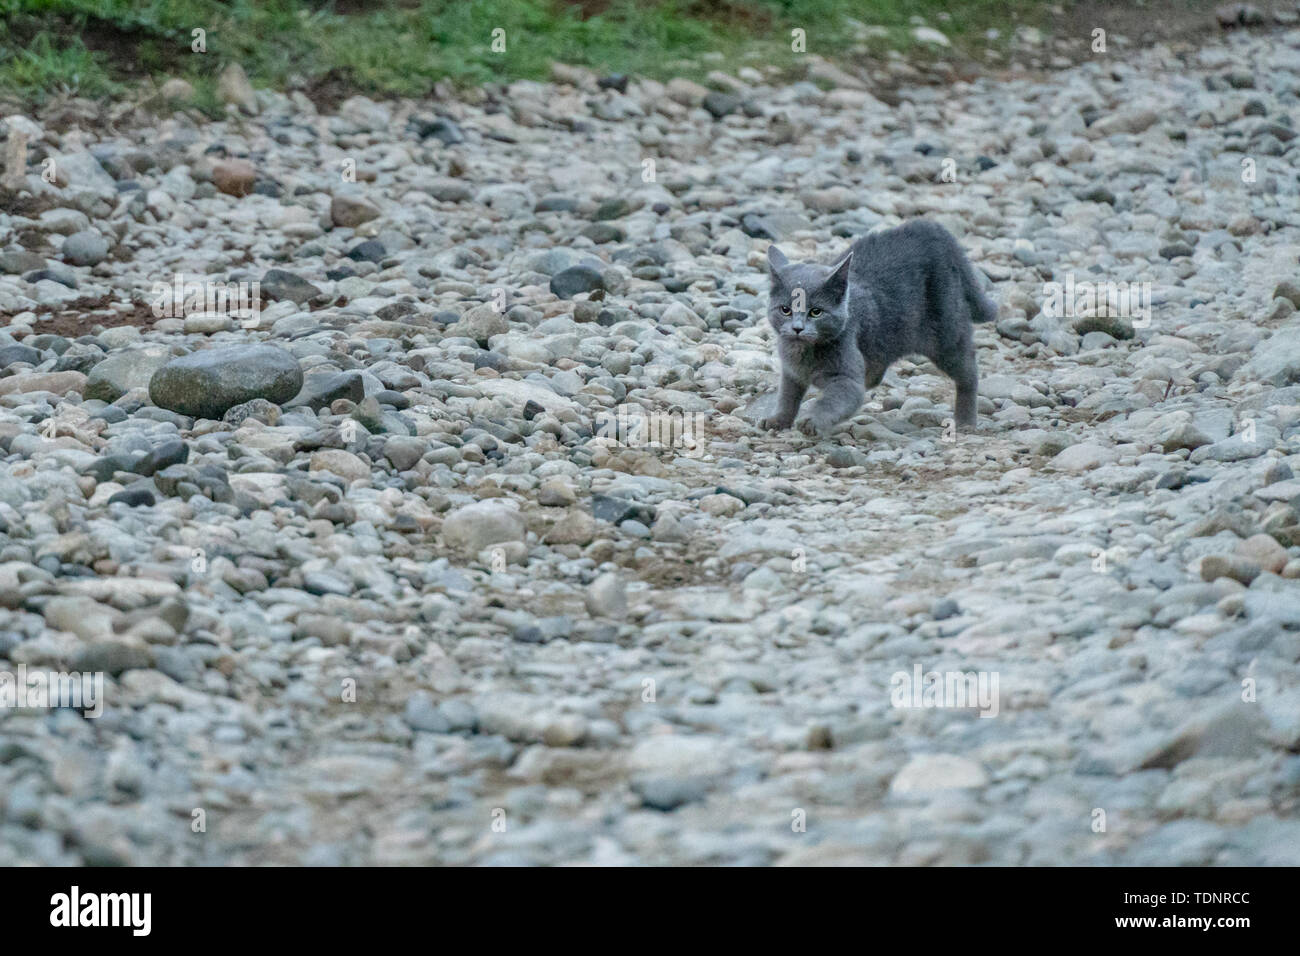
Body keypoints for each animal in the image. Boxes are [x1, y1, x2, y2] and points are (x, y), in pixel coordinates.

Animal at [754, 221, 993, 437]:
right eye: (785, 310)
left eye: (816, 312)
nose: (797, 328)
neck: (802, 353)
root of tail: (929, 227)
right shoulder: (790, 372)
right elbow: (787, 396)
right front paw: (777, 420)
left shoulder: (847, 380)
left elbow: (831, 401)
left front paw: (812, 420)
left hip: (947, 336)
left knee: (969, 372)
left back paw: (966, 422)